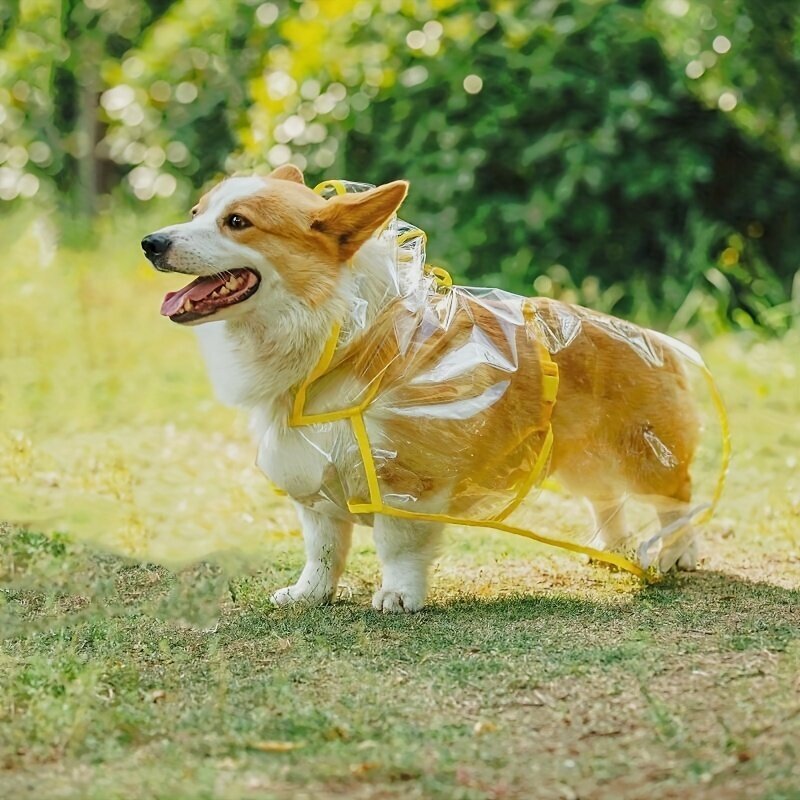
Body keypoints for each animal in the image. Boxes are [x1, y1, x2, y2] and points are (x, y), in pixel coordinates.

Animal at [142, 164, 700, 612]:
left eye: (237, 222)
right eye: (195, 211)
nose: (150, 243)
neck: (338, 336)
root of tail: (656, 340)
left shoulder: (406, 479)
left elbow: (398, 546)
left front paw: (397, 596)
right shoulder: (312, 476)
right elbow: (323, 548)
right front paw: (309, 594)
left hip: (643, 455)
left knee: (678, 500)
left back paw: (676, 554)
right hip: (582, 458)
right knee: (606, 499)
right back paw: (615, 550)